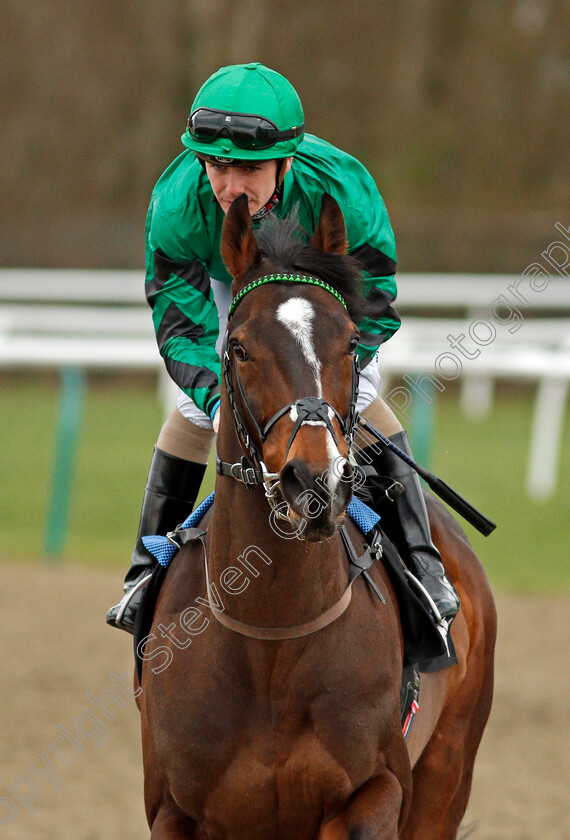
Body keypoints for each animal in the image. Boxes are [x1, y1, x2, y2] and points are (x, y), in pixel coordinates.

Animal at [136, 194, 492, 836]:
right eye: (238, 348)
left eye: (350, 342)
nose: (315, 480)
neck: (272, 635)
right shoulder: (173, 808)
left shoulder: (376, 792)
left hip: (448, 773)